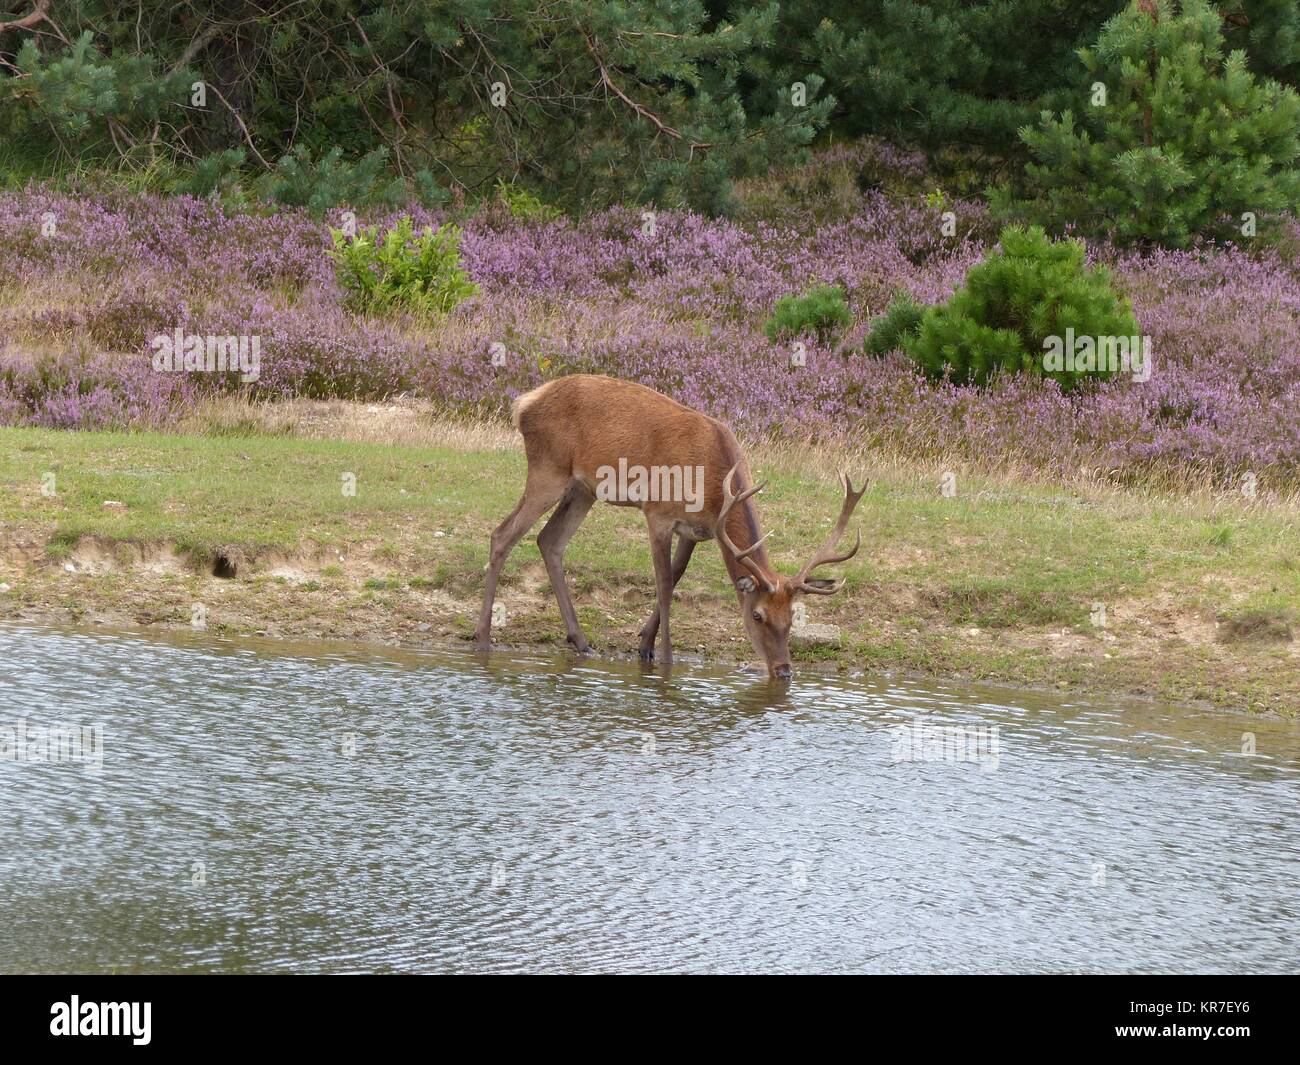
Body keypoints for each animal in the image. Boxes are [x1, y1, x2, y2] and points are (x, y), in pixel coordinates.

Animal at [475, 374, 863, 681]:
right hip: (548, 470)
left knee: (549, 540)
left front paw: (644, 646)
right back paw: (483, 637)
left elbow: (676, 576)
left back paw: (580, 641)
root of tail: (523, 403)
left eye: (793, 616)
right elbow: (663, 584)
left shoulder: (696, 531)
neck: (712, 487)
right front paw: (665, 659)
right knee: (503, 534)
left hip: (583, 489)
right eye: (757, 614)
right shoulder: (658, 513)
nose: (783, 670)